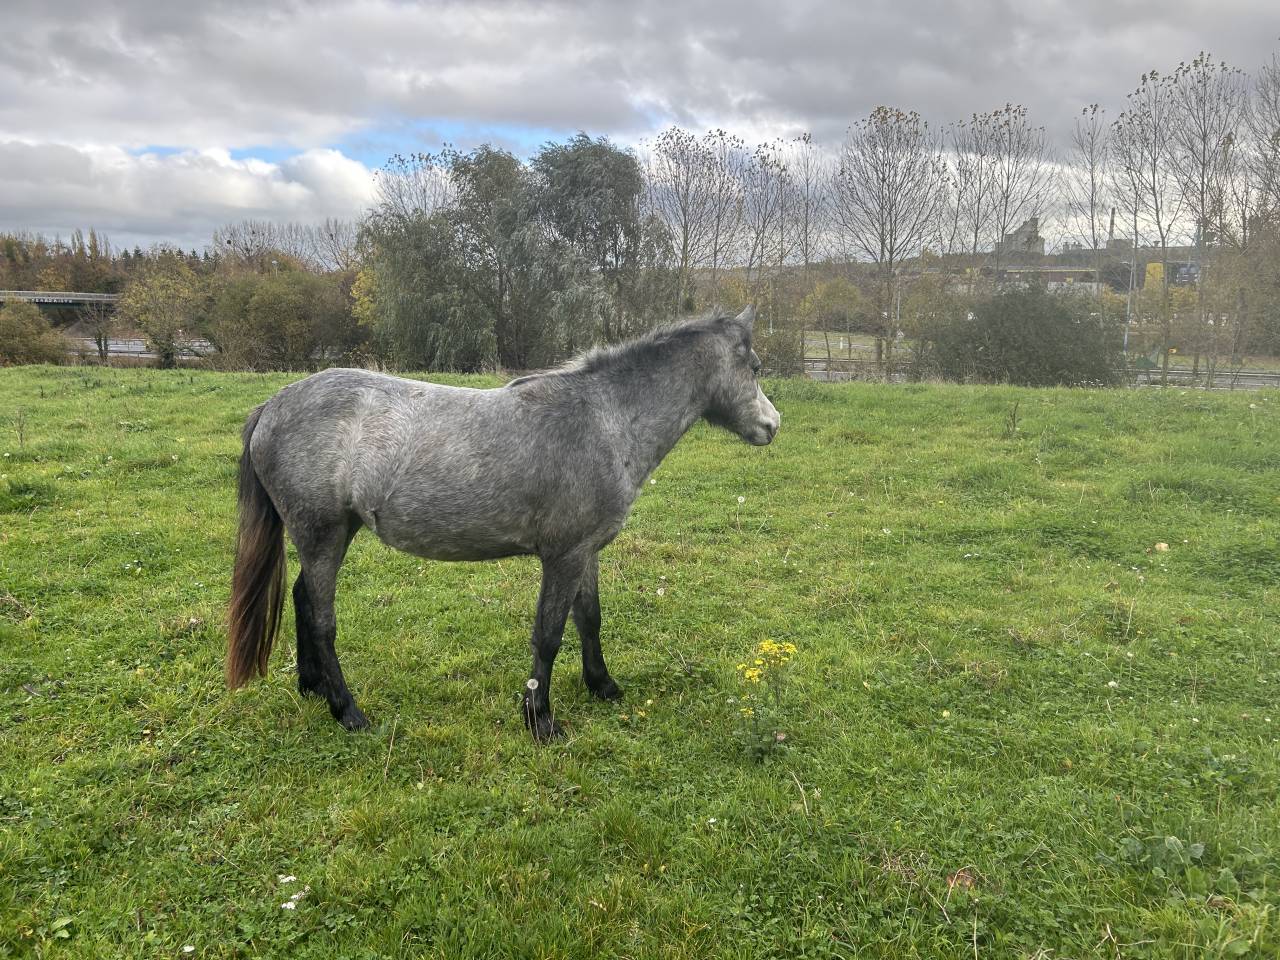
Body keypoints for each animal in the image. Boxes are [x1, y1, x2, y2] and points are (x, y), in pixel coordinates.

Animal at [225, 305, 780, 740]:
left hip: (331, 535)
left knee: (302, 598)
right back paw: (347, 711)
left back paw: (312, 687)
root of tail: (273, 405)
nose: (772, 426)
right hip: (322, 535)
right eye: (754, 367)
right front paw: (541, 719)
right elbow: (549, 634)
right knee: (322, 618)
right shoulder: (563, 556)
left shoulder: (586, 552)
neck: (603, 419)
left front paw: (603, 686)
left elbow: (589, 620)